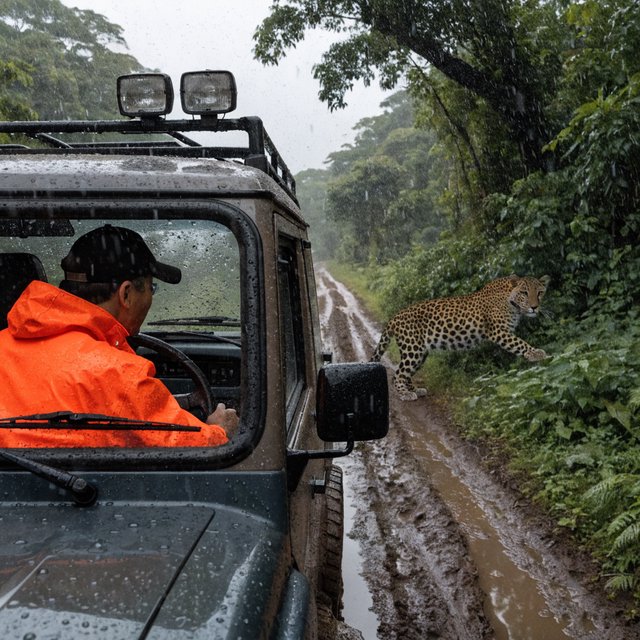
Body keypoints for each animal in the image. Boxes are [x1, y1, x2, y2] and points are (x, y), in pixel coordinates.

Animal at [371, 275, 551, 401]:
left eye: (540, 293)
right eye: (524, 293)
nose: (534, 307)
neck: (511, 303)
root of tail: (395, 317)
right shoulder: (498, 331)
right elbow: (519, 343)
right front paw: (536, 353)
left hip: (420, 353)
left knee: (403, 373)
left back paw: (415, 390)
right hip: (412, 349)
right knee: (398, 374)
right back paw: (405, 394)